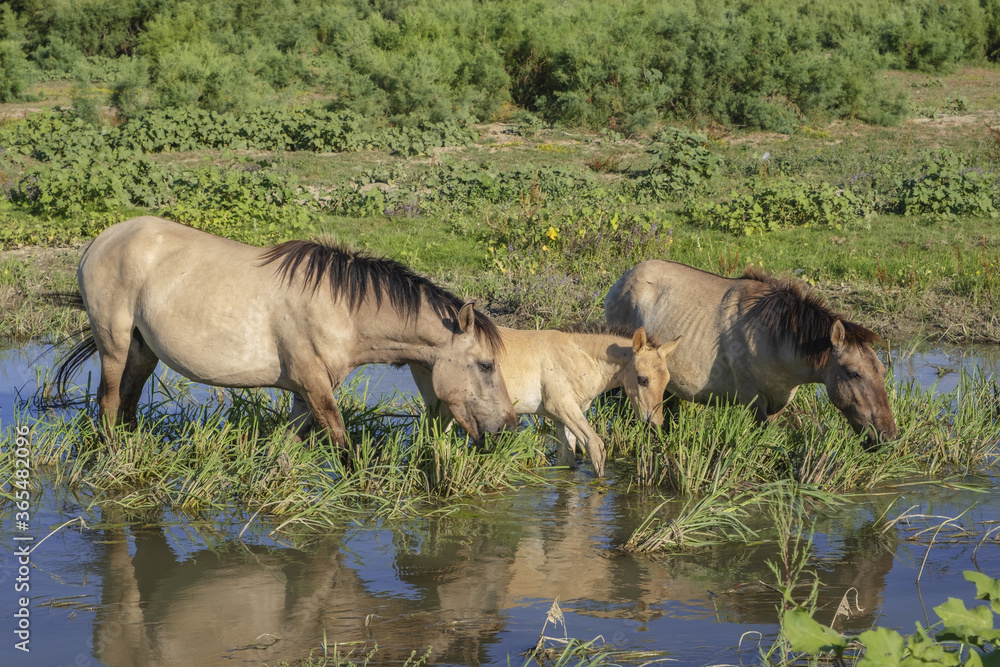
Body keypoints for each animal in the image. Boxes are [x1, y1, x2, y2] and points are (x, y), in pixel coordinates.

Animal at [54, 216, 517, 446]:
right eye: (486, 365)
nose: (509, 427)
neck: (341, 308)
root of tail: (100, 241)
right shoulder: (315, 386)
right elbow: (341, 443)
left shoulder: (303, 392)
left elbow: (286, 451)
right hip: (113, 345)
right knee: (109, 403)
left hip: (142, 350)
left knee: (128, 403)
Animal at [409, 326, 681, 477]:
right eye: (643, 379)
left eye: (667, 380)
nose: (655, 423)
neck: (581, 356)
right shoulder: (564, 408)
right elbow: (596, 447)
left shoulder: (563, 419)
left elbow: (567, 461)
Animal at [604, 261, 897, 448]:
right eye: (853, 373)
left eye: (882, 371)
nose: (888, 436)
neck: (773, 339)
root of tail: (620, 281)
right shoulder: (753, 401)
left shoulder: (779, 404)